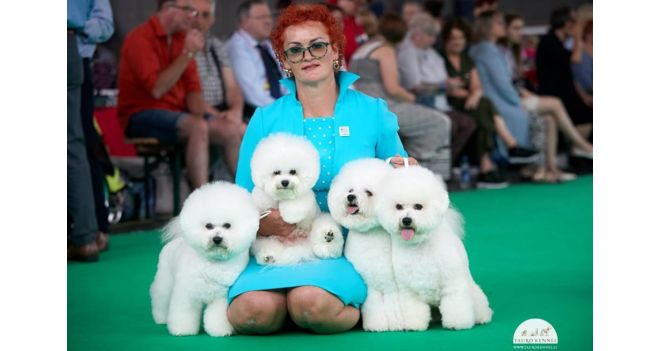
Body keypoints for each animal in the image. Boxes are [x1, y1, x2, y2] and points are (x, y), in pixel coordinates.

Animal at [150, 183, 260, 336]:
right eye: (208, 226)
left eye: (227, 225)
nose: (217, 239)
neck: (213, 263)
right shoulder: (187, 293)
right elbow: (184, 312)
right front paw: (182, 330)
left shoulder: (220, 297)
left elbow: (217, 314)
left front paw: (220, 329)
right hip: (165, 279)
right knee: (160, 297)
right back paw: (160, 318)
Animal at [248, 133, 340, 266]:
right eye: (276, 172)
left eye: (293, 172)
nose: (285, 182)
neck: (282, 196)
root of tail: (296, 246)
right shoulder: (262, 196)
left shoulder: (302, 197)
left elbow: (294, 205)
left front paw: (290, 217)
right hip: (265, 240)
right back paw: (268, 256)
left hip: (319, 223)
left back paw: (328, 237)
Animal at [324, 160, 402, 332]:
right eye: (350, 190)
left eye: (368, 192)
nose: (350, 197)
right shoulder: (369, 283)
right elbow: (374, 306)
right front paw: (376, 324)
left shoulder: (392, 284)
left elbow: (394, 304)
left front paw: (396, 323)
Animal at [376, 166, 490, 332]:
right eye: (398, 207)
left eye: (418, 206)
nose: (406, 220)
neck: (420, 246)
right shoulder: (409, 291)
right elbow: (413, 309)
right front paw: (414, 325)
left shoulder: (452, 284)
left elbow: (456, 304)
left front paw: (457, 323)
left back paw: (482, 317)